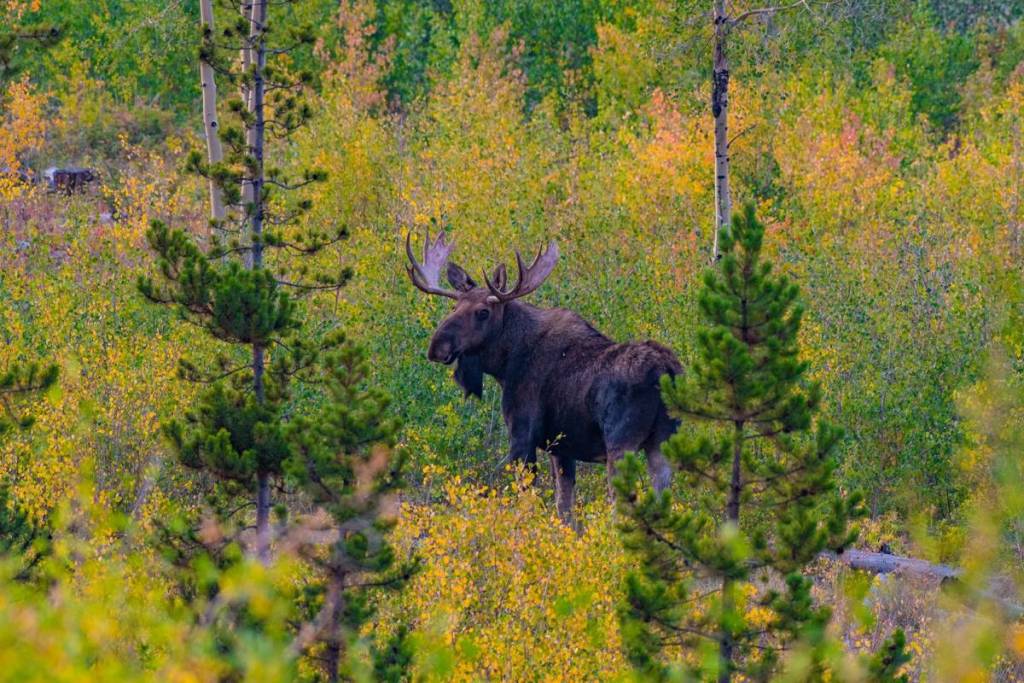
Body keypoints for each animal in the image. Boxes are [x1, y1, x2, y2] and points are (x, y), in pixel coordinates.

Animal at [406, 230, 681, 524]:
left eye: (483, 311)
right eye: (455, 306)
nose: (437, 347)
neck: (506, 364)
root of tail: (666, 371)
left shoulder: (522, 434)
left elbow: (527, 499)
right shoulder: (561, 448)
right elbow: (565, 508)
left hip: (621, 443)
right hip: (661, 444)